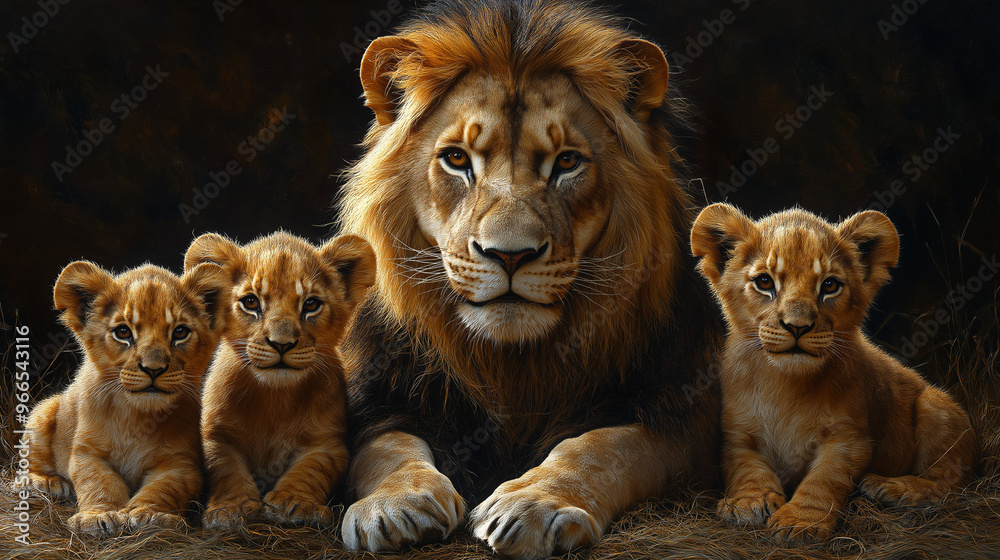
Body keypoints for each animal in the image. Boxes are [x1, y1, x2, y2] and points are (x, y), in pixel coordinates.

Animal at [25, 261, 228, 534]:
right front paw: (99, 516)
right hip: (43, 412)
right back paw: (47, 483)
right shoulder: (87, 452)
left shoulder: (183, 462)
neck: (137, 416)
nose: (153, 369)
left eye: (180, 332)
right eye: (123, 332)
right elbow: (98, 482)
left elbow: (165, 487)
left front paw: (151, 514)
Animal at [184, 231, 375, 530]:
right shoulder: (214, 435)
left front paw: (293, 502)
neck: (275, 397)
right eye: (251, 302)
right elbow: (225, 468)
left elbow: (312, 468)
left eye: (311, 304)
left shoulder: (329, 441)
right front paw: (232, 508)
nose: (281, 344)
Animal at [337, 1, 723, 557]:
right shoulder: (377, 399)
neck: (512, 367)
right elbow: (387, 447)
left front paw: (535, 504)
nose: (510, 254)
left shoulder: (684, 413)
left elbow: (604, 446)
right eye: (457, 159)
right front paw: (395, 504)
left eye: (567, 162)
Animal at [690, 203, 980, 540]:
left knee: (948, 484)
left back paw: (888, 487)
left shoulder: (848, 438)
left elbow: (824, 479)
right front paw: (749, 502)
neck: (785, 384)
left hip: (936, 405)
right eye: (764, 282)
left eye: (829, 285)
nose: (797, 326)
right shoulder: (738, 434)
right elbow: (745, 467)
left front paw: (800, 521)